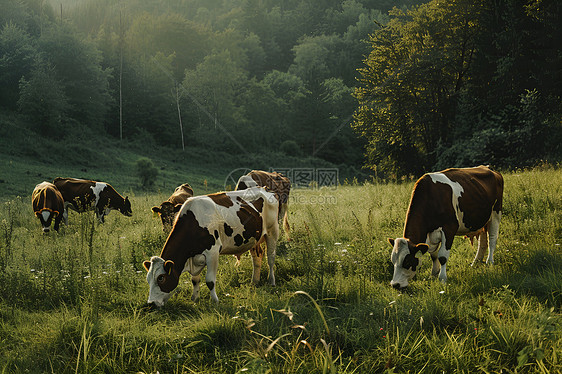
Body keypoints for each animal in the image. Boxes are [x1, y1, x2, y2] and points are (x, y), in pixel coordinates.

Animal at [142, 187, 278, 306]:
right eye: (148, 279)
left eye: (161, 278)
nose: (151, 304)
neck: (193, 224)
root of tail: (263, 189)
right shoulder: (194, 257)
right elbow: (195, 280)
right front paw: (195, 299)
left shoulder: (212, 253)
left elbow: (210, 281)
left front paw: (215, 301)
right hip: (254, 239)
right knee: (257, 257)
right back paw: (254, 282)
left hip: (272, 232)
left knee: (270, 258)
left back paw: (271, 281)